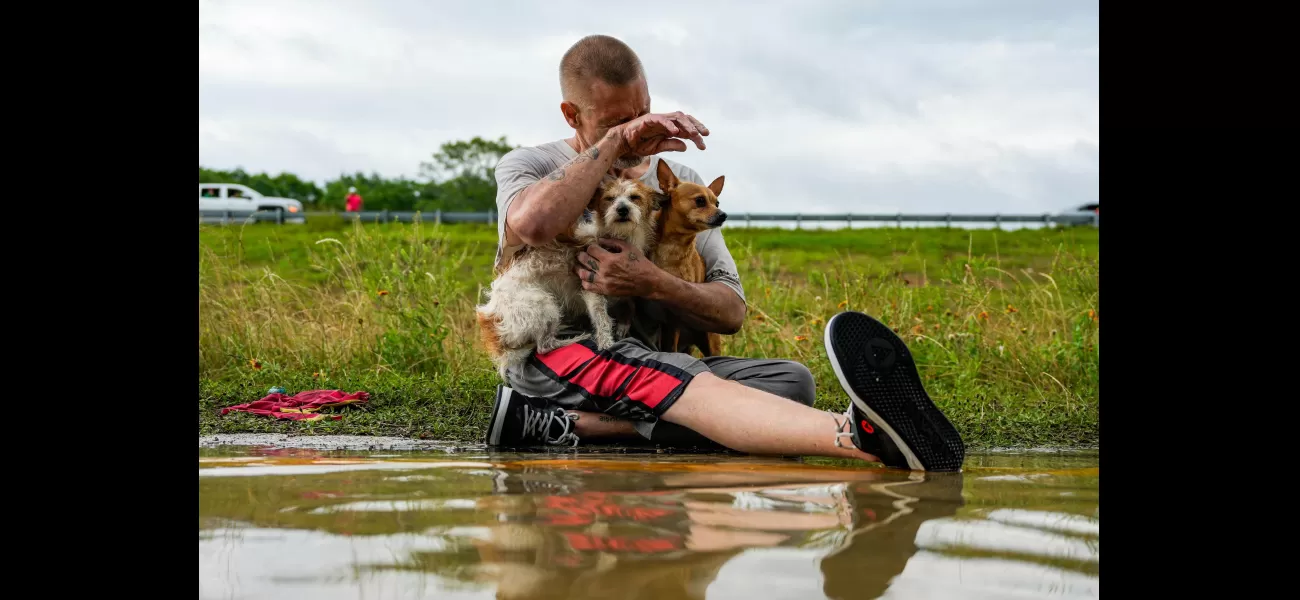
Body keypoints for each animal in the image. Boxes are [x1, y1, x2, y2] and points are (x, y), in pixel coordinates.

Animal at [478, 175, 660, 376]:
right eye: (610, 199)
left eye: (635, 197)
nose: (622, 209)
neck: (619, 236)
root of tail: (493, 312)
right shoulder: (591, 287)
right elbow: (602, 319)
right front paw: (606, 343)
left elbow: (627, 304)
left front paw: (622, 325)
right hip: (544, 305)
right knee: (544, 346)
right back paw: (575, 339)